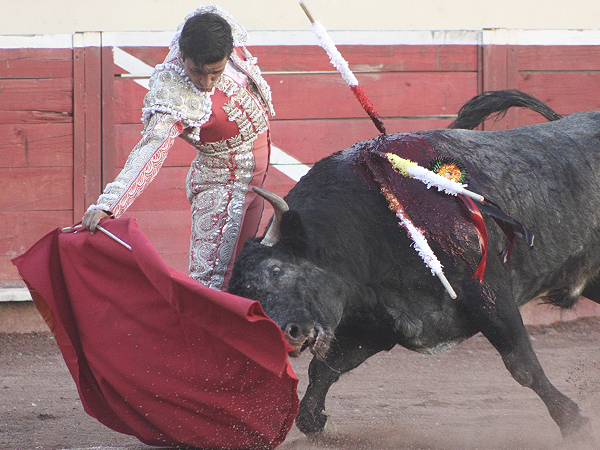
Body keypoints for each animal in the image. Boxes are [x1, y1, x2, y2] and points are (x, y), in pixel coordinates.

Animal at [229, 93, 600, 442]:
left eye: (277, 270)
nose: (285, 334)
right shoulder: (380, 326)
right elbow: (323, 371)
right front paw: (321, 423)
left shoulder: (488, 293)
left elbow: (522, 365)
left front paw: (574, 422)